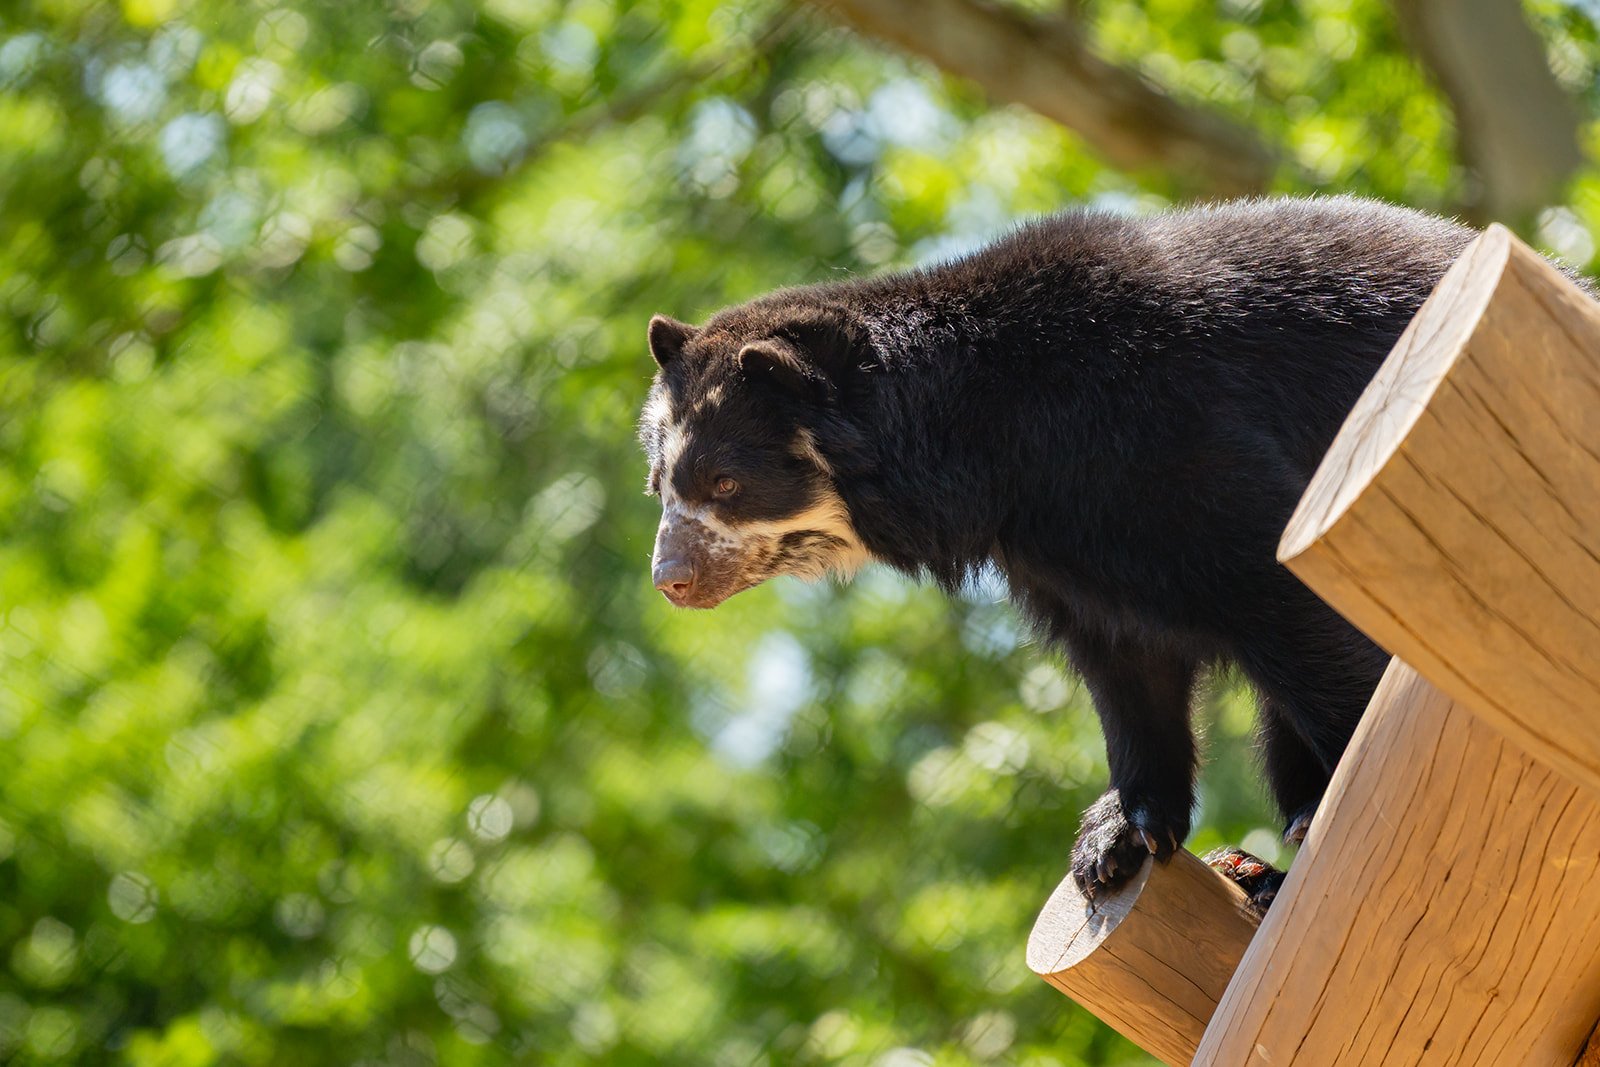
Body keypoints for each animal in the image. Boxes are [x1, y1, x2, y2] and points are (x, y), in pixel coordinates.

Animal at [637, 195, 1481, 899]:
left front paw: (1349, 782)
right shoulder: (1052, 547)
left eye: (725, 483)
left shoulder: (1164, 440)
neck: (994, 442)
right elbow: (1126, 665)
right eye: (658, 484)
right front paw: (1117, 835)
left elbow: (1284, 591)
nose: (671, 578)